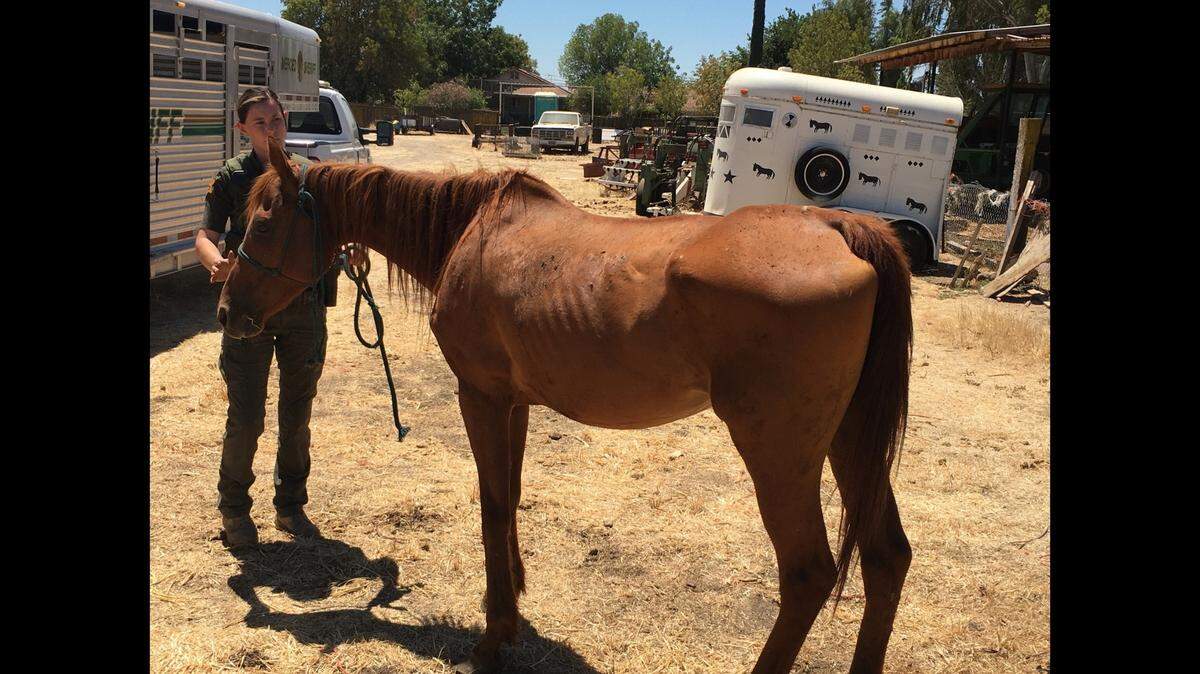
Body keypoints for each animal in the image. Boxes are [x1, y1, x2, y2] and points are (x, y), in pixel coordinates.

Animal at [219, 138, 913, 674]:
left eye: (263, 223)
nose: (227, 312)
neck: (469, 232)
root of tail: (838, 228)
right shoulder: (516, 403)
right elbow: (511, 497)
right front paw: (510, 604)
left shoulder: (482, 397)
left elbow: (492, 505)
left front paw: (493, 638)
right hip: (849, 440)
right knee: (886, 558)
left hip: (779, 454)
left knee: (807, 574)